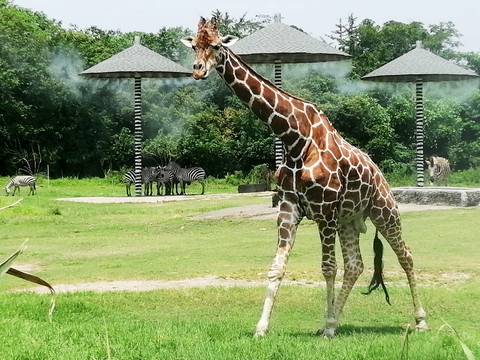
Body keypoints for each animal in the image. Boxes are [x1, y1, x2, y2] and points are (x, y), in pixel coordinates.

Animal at [183, 16, 428, 338]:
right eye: (194, 46)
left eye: (215, 45)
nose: (198, 70)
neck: (294, 138)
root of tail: (380, 174)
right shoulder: (289, 209)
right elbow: (277, 268)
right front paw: (262, 328)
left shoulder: (324, 212)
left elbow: (328, 267)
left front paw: (327, 329)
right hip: (349, 219)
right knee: (356, 265)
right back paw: (332, 320)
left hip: (384, 210)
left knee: (405, 255)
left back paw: (420, 320)